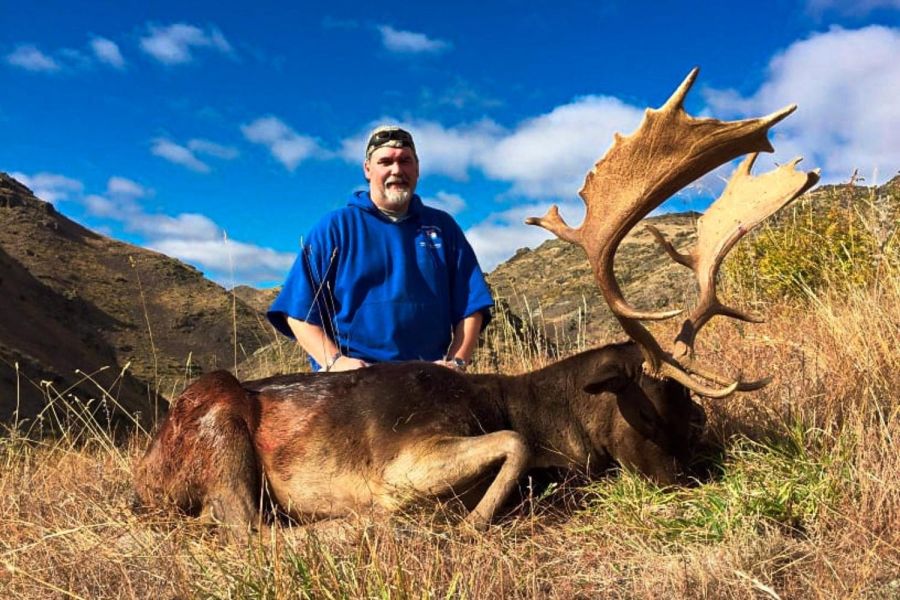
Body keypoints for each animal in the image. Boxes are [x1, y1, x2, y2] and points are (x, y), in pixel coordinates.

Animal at [134, 68, 819, 538]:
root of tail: (142, 476)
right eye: (649, 411)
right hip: (217, 420)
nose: (698, 480)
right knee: (242, 525)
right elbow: (513, 445)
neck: (548, 418)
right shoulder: (405, 461)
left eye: (696, 416)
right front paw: (462, 522)